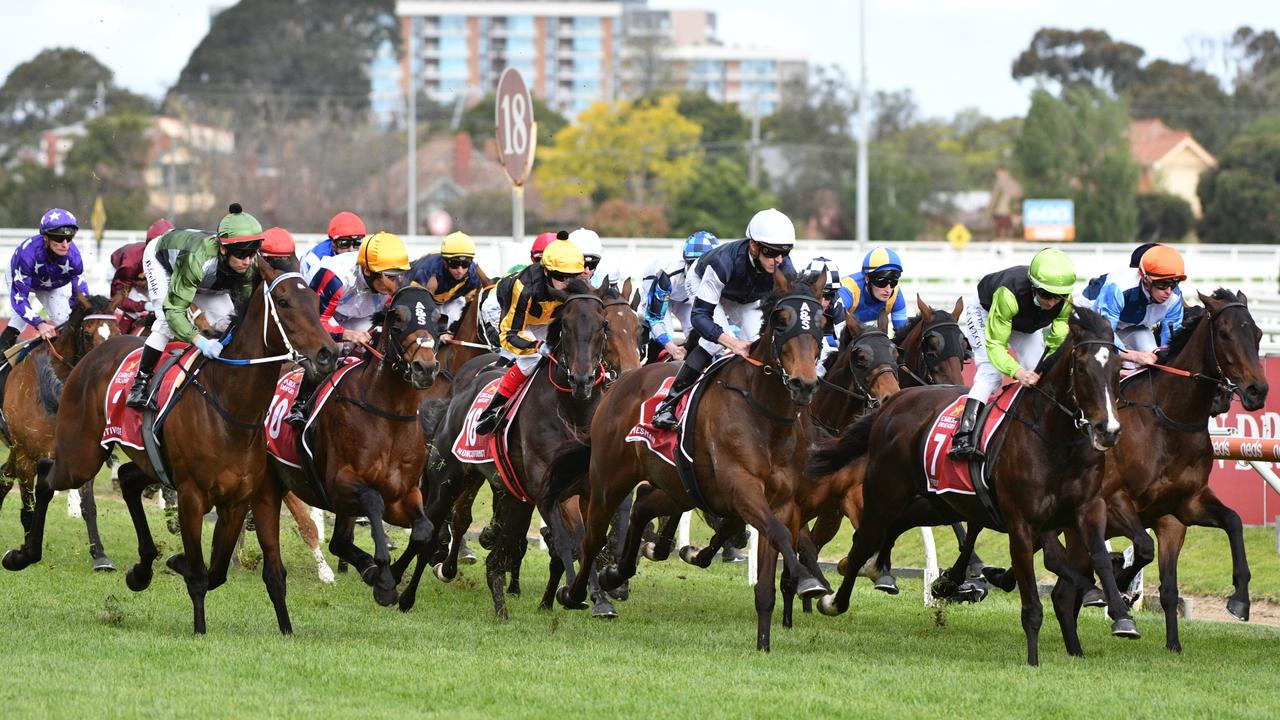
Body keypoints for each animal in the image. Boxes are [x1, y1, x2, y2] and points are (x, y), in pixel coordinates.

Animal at [0, 292, 119, 566]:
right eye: (88, 335)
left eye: (118, 332)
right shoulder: (26, 456)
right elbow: (28, 508)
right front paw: (26, 549)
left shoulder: (79, 454)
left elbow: (88, 507)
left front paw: (100, 555)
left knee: (3, 477)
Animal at [272, 283, 442, 607]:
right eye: (397, 319)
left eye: (439, 319)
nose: (425, 367)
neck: (388, 416)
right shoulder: (340, 483)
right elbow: (373, 501)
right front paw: (385, 579)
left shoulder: (403, 494)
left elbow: (424, 530)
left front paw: (391, 578)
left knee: (339, 542)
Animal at [560, 269, 829, 650]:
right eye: (781, 320)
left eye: (822, 320)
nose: (804, 383)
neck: (766, 413)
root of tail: (622, 381)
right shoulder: (741, 488)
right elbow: (777, 533)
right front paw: (807, 579)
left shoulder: (784, 502)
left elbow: (772, 564)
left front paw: (764, 643)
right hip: (608, 480)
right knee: (593, 537)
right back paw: (580, 593)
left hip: (681, 488)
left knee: (643, 504)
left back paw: (616, 573)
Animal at [803, 304, 1136, 666]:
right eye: (1082, 368)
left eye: (1118, 368)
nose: (1109, 430)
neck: (1054, 439)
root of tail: (895, 402)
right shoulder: (1021, 522)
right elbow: (1034, 597)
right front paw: (1033, 659)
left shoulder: (1088, 509)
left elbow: (1098, 558)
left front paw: (1120, 614)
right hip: (885, 492)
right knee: (865, 536)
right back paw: (835, 598)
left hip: (935, 502)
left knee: (896, 526)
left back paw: (879, 569)